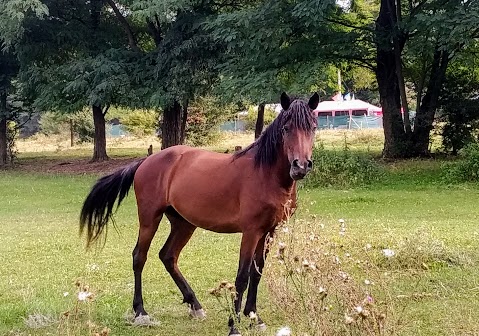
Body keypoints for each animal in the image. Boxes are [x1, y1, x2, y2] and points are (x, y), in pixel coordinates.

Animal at [79, 91, 318, 334]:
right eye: (286, 128)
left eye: (313, 127)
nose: (300, 166)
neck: (265, 175)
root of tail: (147, 160)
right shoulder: (251, 232)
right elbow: (242, 276)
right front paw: (234, 325)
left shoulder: (269, 230)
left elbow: (257, 271)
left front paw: (254, 318)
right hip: (149, 219)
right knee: (139, 257)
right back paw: (141, 312)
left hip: (184, 223)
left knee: (168, 256)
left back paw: (195, 305)